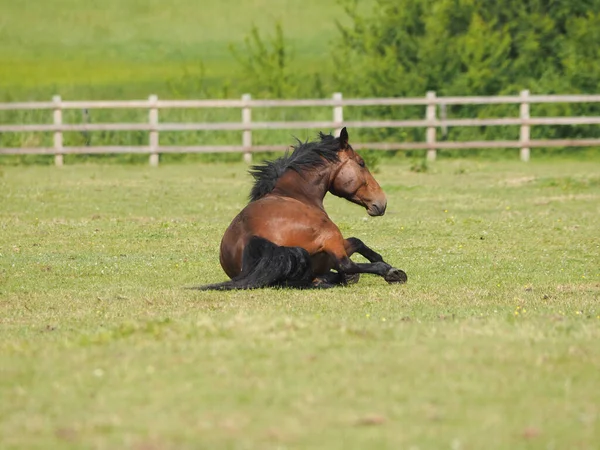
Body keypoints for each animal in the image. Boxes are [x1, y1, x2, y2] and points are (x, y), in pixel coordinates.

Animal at [192, 126, 408, 290]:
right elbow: (357, 244)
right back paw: (391, 273)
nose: (381, 202)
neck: (295, 193)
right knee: (345, 265)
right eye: (361, 163)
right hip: (331, 237)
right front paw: (387, 267)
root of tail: (253, 238)